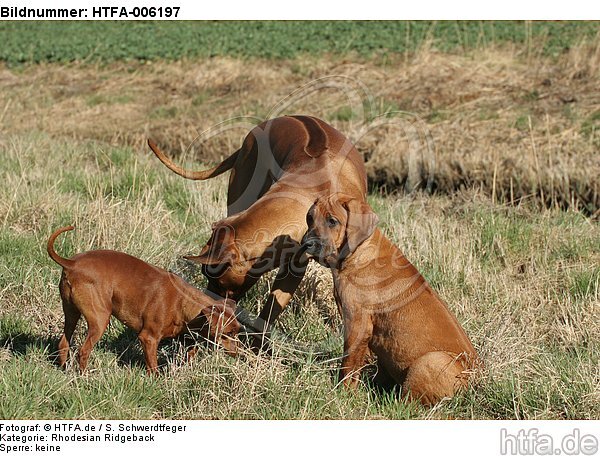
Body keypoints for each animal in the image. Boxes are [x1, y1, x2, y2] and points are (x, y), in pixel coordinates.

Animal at [47, 225, 239, 374]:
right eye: (227, 335)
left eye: (237, 332)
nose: (240, 354)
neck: (183, 303)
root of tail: (71, 263)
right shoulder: (149, 338)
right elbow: (153, 367)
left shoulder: (189, 338)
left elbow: (189, 354)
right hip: (100, 320)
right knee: (83, 350)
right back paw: (84, 376)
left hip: (71, 314)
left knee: (63, 343)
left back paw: (64, 369)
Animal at [302, 194, 480, 404]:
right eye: (309, 218)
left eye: (332, 221)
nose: (306, 244)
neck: (360, 251)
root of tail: (477, 383)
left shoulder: (357, 323)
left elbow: (349, 363)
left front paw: (343, 392)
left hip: (430, 362)